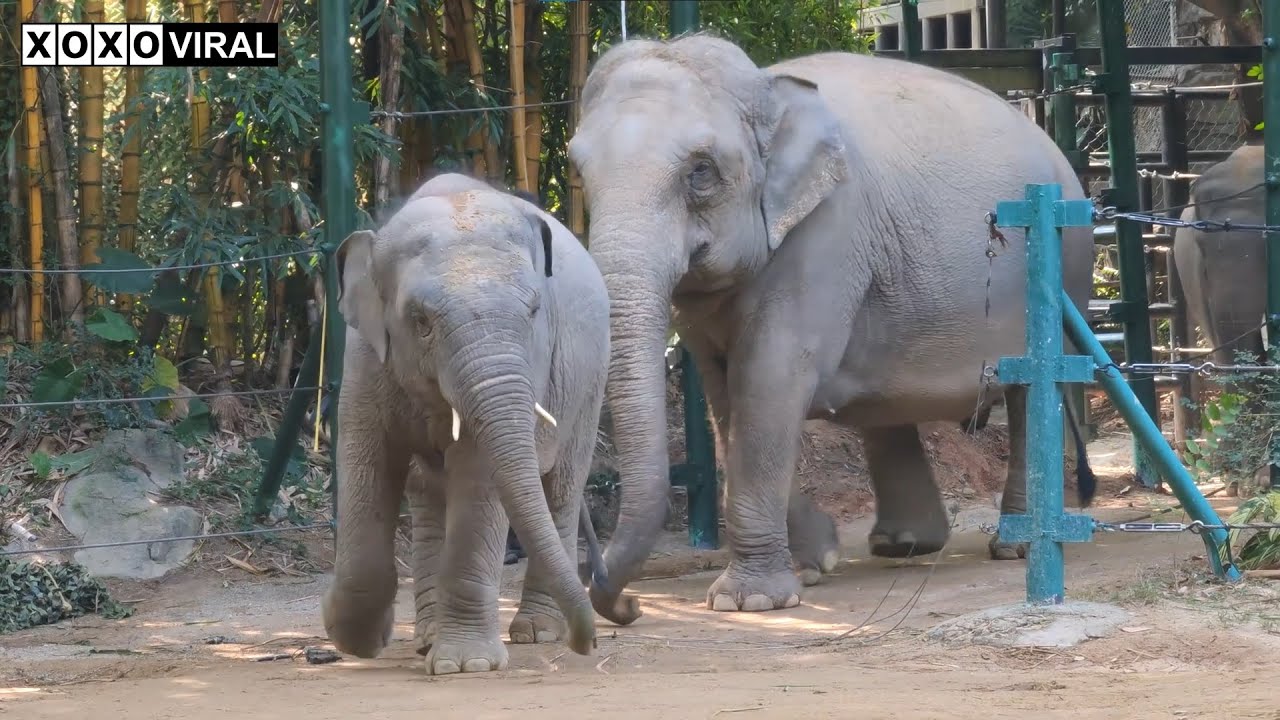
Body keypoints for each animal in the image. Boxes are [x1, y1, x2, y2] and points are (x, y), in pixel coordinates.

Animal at [320, 172, 610, 675]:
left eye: (534, 311)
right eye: (420, 320)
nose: (588, 644)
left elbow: (479, 479)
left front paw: (465, 665)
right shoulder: (364, 358)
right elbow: (364, 462)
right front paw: (357, 640)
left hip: (589, 383)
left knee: (561, 486)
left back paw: (536, 632)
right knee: (427, 495)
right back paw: (427, 638)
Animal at [566, 33, 1096, 622]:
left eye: (700, 171)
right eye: (577, 171)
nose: (630, 605)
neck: (766, 88)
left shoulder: (825, 236)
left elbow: (770, 382)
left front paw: (748, 600)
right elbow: (726, 398)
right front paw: (813, 562)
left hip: (1062, 264)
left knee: (1030, 392)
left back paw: (1015, 547)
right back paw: (903, 544)